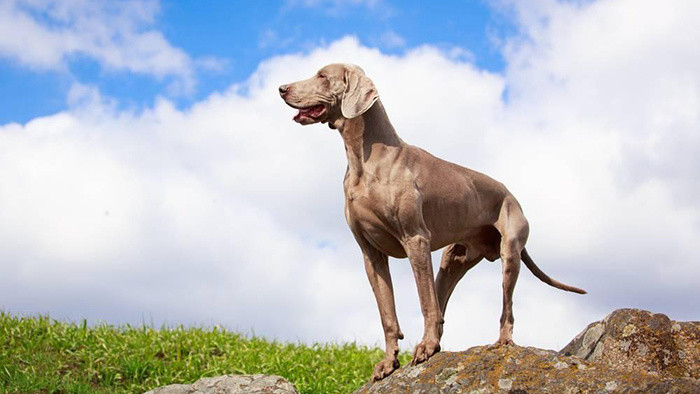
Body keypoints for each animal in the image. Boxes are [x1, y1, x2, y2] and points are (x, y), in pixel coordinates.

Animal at [278, 63, 584, 382]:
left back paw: (500, 341)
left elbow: (424, 302)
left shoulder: (416, 240)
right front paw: (388, 362)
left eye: (323, 76)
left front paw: (423, 349)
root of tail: (511, 194)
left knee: (502, 307)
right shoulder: (370, 254)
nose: (282, 88)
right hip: (453, 261)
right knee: (441, 305)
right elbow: (388, 314)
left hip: (509, 250)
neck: (365, 160)